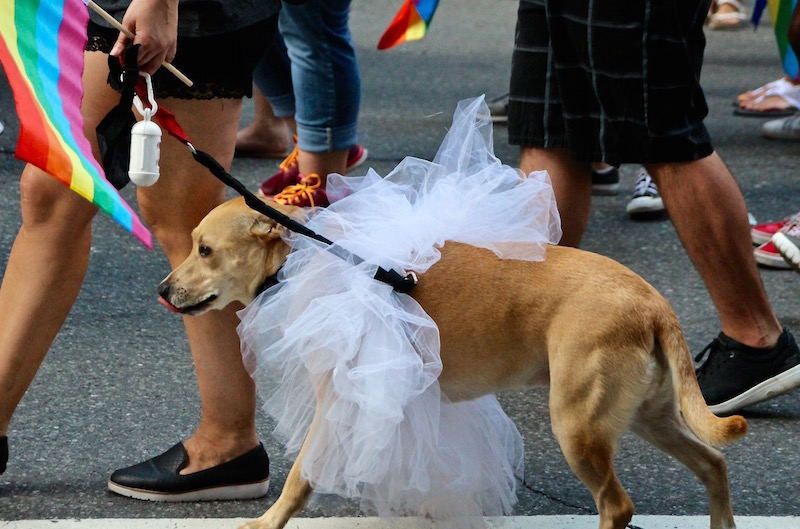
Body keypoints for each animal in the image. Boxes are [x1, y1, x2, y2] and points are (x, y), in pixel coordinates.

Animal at [159, 196, 748, 528]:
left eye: (205, 250)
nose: (163, 290)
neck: (305, 257)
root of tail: (653, 303)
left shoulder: (339, 401)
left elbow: (300, 477)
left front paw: (268, 522)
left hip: (578, 424)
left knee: (618, 506)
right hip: (649, 415)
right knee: (713, 464)